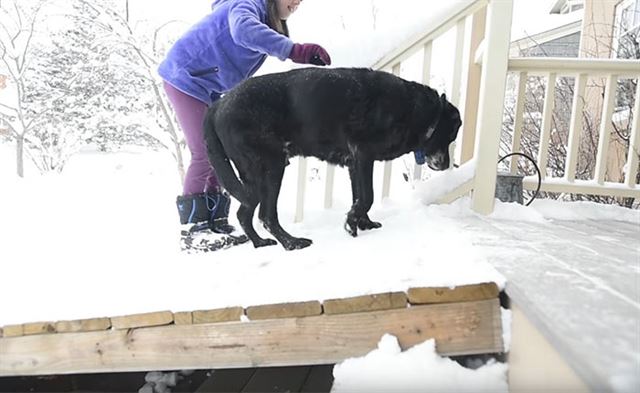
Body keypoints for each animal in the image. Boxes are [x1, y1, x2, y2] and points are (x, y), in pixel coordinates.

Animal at [205, 67, 460, 250]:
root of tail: (217, 105)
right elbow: (368, 196)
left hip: (252, 178)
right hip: (271, 168)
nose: (446, 165)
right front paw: (351, 223)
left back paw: (260, 243)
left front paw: (363, 224)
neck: (415, 111)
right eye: (451, 135)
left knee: (244, 213)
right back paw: (292, 243)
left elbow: (359, 197)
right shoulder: (363, 155)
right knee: (266, 215)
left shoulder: (354, 164)